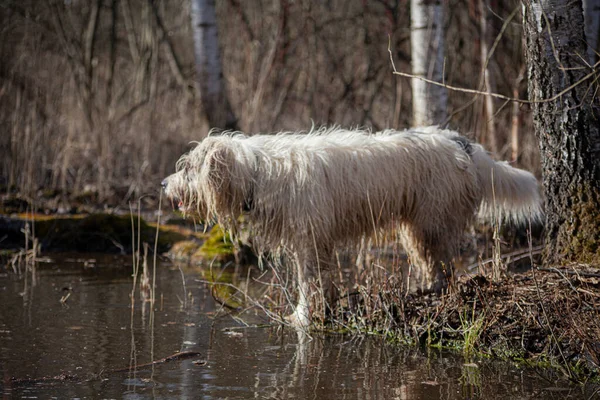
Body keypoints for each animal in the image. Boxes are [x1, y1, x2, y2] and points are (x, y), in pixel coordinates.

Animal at [162, 126, 540, 326]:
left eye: (189, 168)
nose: (164, 184)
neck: (258, 172)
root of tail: (461, 142)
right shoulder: (317, 240)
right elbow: (324, 278)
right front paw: (327, 307)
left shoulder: (308, 239)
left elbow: (307, 281)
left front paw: (302, 316)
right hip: (417, 226)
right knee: (434, 263)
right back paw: (427, 290)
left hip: (433, 220)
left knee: (445, 262)